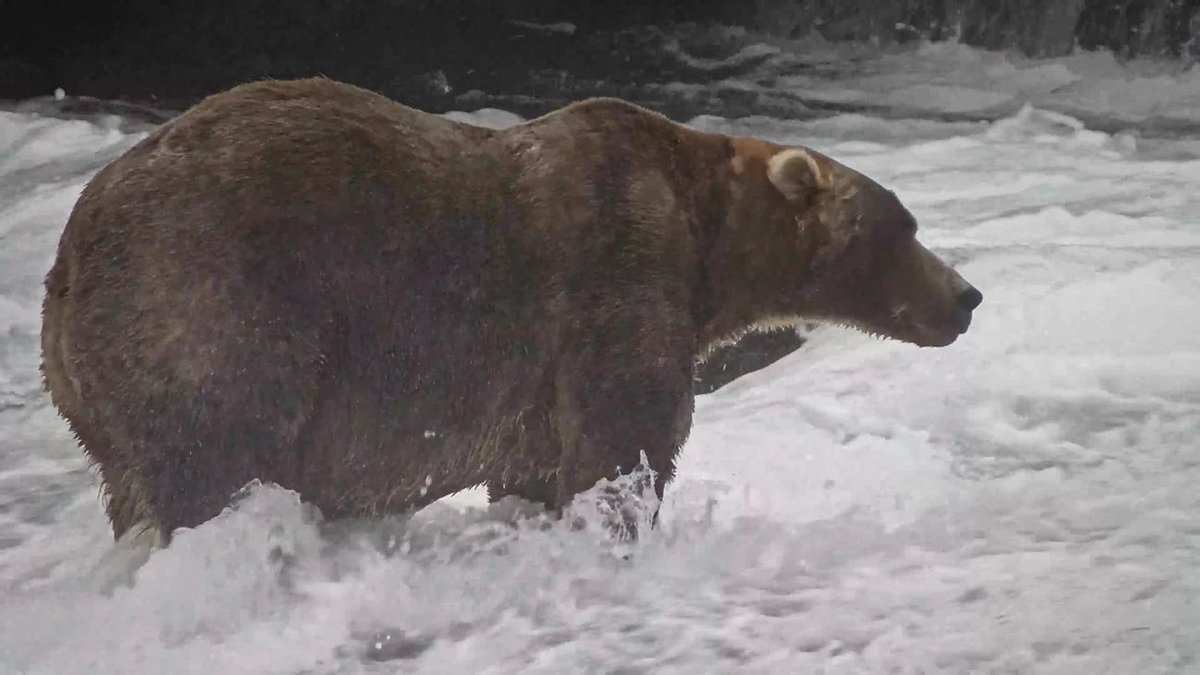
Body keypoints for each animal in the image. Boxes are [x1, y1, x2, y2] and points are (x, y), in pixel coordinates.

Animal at [40, 77, 981, 544]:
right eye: (903, 226)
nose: (966, 296)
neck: (707, 238)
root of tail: (67, 257)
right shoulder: (616, 275)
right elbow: (624, 438)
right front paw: (621, 523)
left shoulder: (534, 384)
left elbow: (536, 465)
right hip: (213, 303)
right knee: (216, 452)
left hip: (96, 390)